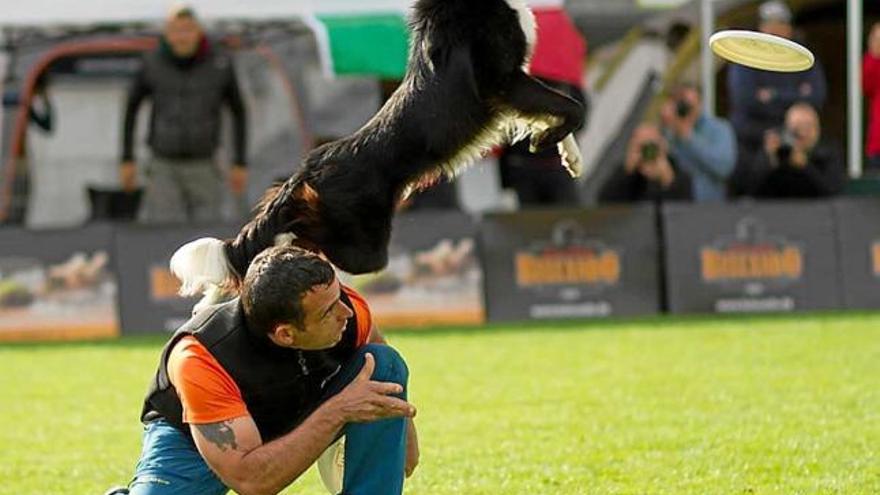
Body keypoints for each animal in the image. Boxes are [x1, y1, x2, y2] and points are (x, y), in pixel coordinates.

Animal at [172, 0, 584, 304]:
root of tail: (308, 168)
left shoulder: (513, 83)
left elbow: (557, 106)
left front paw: (568, 154)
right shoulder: (501, 79)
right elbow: (571, 106)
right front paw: (546, 139)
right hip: (365, 244)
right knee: (310, 234)